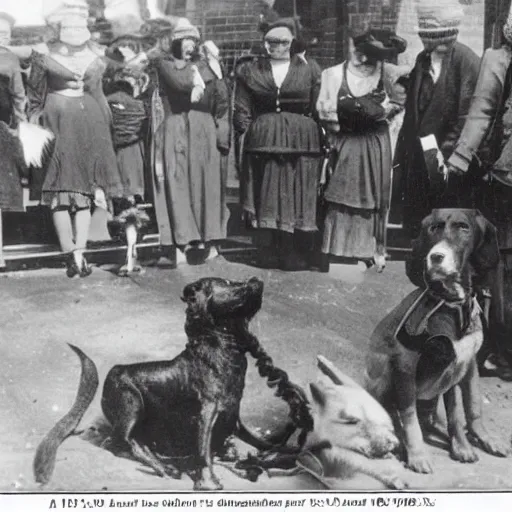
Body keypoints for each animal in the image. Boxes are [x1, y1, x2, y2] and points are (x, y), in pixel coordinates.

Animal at [33, 278, 270, 490]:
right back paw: (165, 468)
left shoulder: (233, 413)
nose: (256, 279)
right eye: (229, 283)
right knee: (118, 442)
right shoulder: (205, 411)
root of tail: (111, 373)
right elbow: (203, 450)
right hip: (131, 407)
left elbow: (258, 440)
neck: (221, 351)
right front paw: (209, 483)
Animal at [364, 208, 508, 472]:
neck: (454, 305)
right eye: (433, 228)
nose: (436, 257)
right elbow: (408, 416)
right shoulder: (406, 365)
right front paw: (418, 454)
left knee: (444, 415)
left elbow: (464, 409)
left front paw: (467, 444)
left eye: (463, 227)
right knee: (393, 416)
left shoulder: (465, 362)